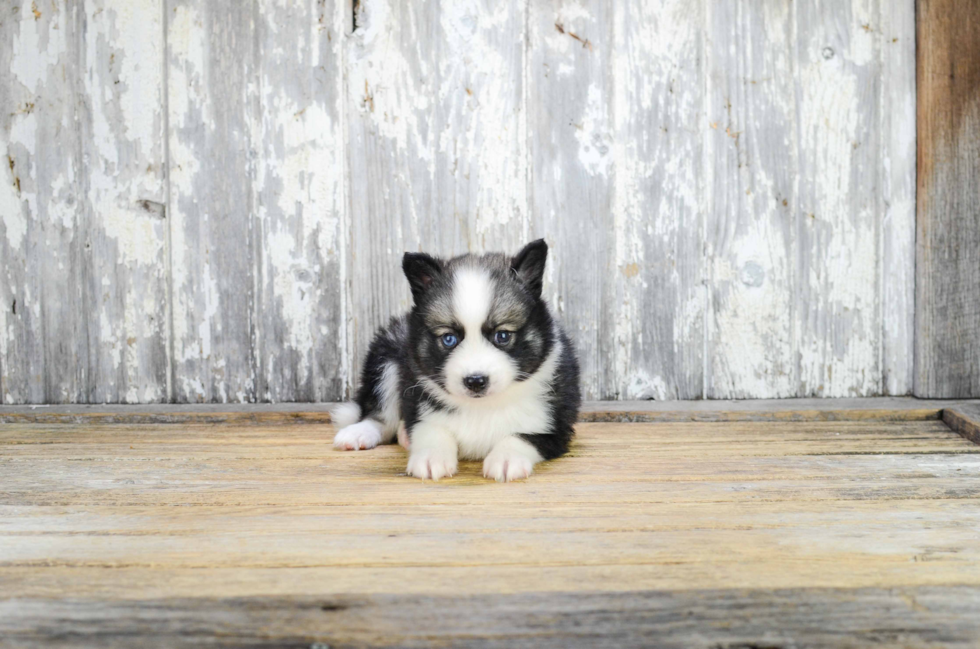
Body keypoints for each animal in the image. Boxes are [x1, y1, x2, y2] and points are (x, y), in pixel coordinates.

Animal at [334, 239, 580, 480]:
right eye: (449, 338)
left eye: (502, 336)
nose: (475, 381)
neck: (482, 407)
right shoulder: (419, 402)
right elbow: (431, 428)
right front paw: (431, 457)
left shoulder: (553, 424)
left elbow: (523, 435)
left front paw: (506, 459)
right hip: (387, 355)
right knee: (380, 414)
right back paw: (360, 433)